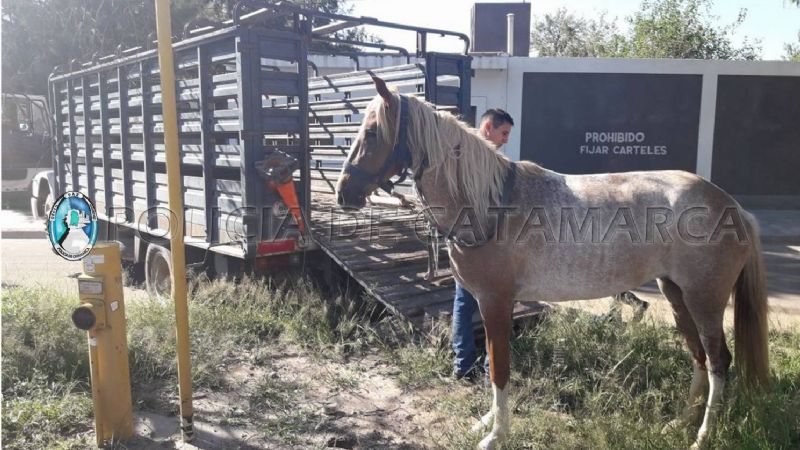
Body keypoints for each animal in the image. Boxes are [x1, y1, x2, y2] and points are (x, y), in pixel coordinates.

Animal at [336, 77, 769, 450]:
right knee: (698, 355)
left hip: (704, 300)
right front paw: (487, 422)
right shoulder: (485, 302)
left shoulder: (496, 302)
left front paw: (496, 435)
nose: (344, 193)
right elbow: (492, 364)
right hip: (677, 294)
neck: (489, 204)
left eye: (371, 133)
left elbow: (499, 370)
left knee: (718, 361)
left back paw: (702, 436)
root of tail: (733, 207)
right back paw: (681, 422)